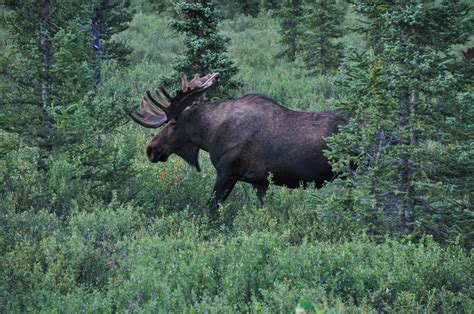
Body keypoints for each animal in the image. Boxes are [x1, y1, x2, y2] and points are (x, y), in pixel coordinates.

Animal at [131, 72, 346, 217]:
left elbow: (212, 209)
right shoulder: (260, 182)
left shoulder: (228, 172)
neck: (209, 135)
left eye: (174, 123)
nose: (151, 149)